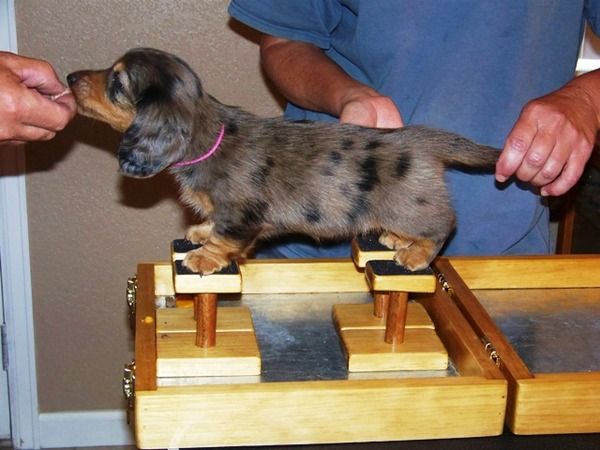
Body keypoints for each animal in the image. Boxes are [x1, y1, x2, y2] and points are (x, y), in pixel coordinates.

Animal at [67, 47, 499, 275]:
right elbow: (214, 225)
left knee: (443, 226)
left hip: (413, 206)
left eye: (117, 82)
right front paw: (201, 232)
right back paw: (396, 239)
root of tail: (418, 137)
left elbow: (227, 238)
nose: (70, 78)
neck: (209, 137)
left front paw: (204, 256)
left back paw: (416, 253)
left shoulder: (241, 215)